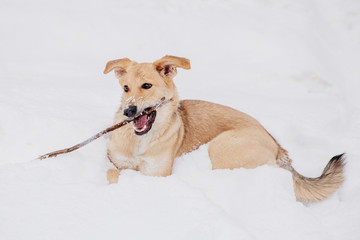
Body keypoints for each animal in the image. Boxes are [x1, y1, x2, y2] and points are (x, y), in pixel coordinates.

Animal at [102, 55, 344, 202]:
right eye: (125, 88)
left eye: (147, 86)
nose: (129, 111)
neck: (140, 141)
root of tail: (279, 148)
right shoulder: (116, 161)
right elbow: (111, 172)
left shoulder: (156, 175)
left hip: (220, 146)